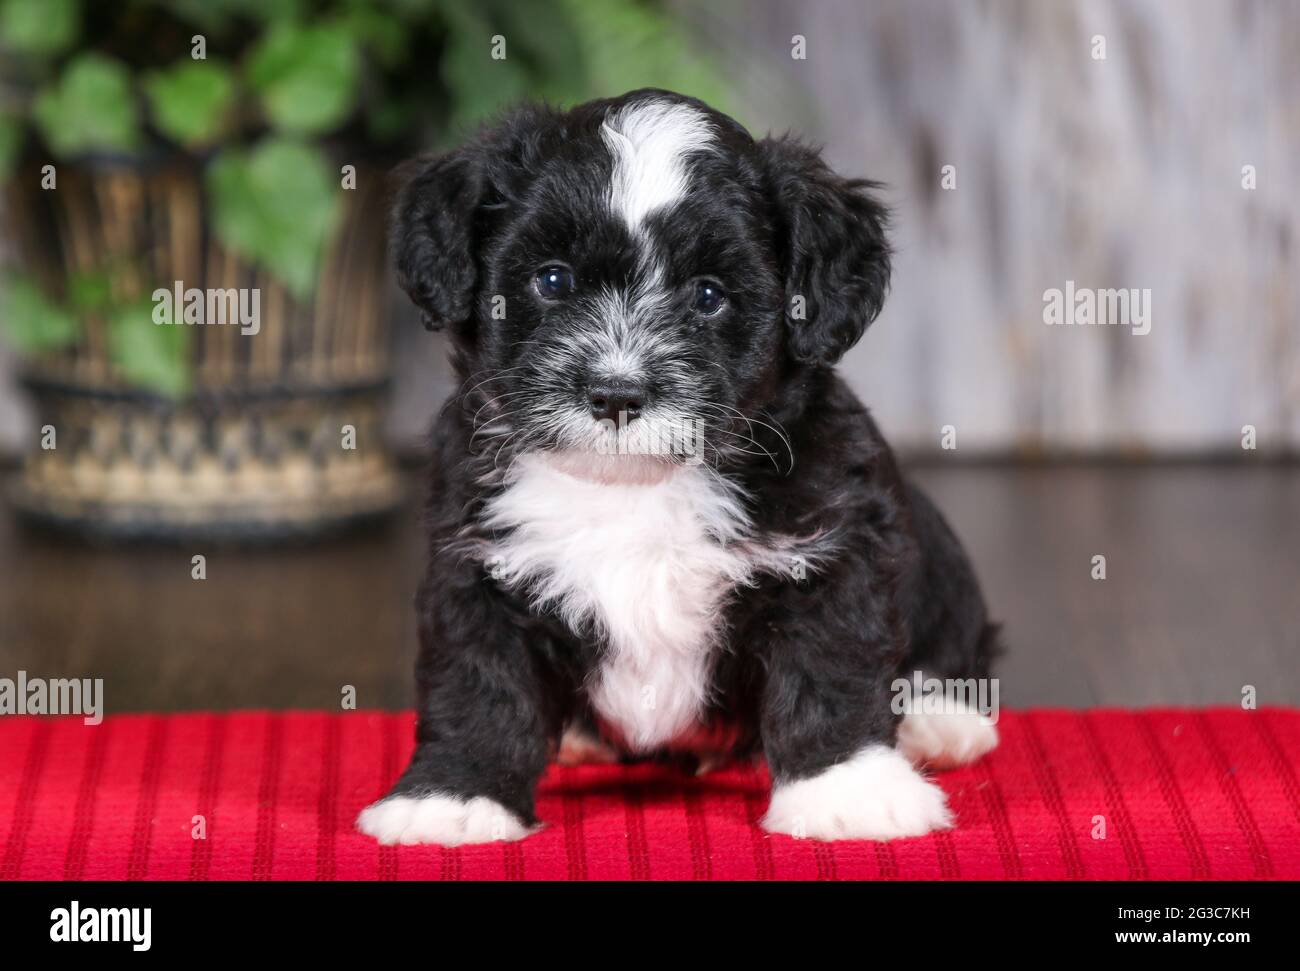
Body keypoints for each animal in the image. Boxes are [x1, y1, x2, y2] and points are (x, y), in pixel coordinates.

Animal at [361, 92, 998, 852]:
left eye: (709, 295)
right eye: (552, 280)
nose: (615, 393)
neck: (634, 488)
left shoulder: (831, 542)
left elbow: (831, 663)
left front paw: (848, 788)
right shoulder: (476, 562)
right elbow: (478, 679)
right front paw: (454, 794)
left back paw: (940, 718)